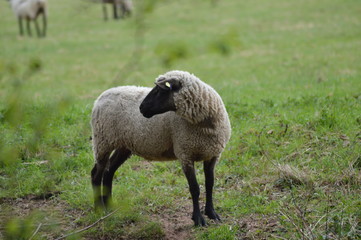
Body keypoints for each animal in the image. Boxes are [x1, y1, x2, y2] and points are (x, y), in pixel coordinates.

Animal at [90, 70, 231, 227]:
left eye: (159, 90)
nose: (141, 108)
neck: (204, 124)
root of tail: (101, 97)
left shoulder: (213, 154)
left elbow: (210, 184)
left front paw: (212, 213)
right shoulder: (185, 154)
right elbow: (194, 188)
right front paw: (198, 219)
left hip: (123, 145)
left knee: (109, 171)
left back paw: (110, 206)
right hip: (103, 141)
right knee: (96, 174)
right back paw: (99, 209)